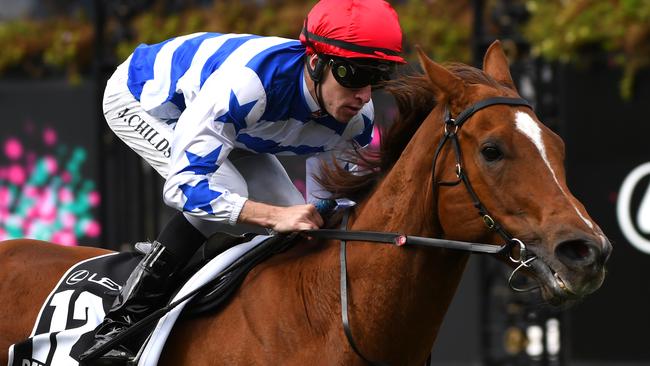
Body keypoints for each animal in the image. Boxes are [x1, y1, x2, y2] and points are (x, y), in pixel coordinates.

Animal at [0, 41, 608, 364]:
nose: (587, 251)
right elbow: (190, 182)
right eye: (492, 149)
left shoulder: (355, 126)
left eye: (556, 145)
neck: (324, 318)